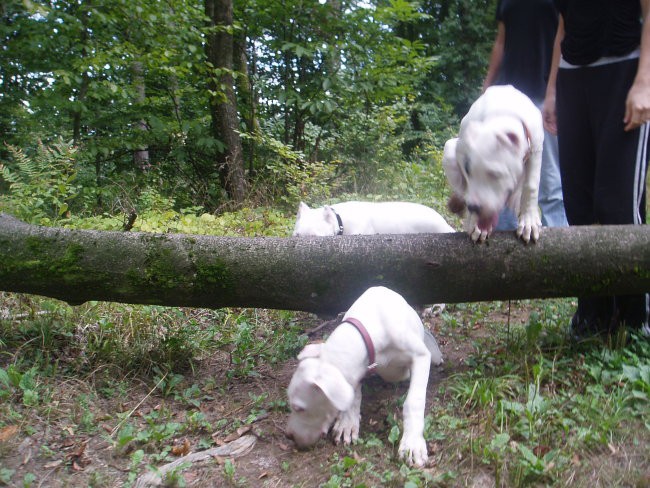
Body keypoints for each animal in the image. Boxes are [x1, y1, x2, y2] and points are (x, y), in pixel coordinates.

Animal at [286, 286, 442, 468]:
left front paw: (412, 444)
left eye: (299, 408)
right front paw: (348, 423)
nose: (288, 436)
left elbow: (414, 401)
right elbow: (354, 393)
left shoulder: (420, 356)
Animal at [440, 86, 540, 244]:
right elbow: (466, 187)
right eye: (468, 172)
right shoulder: (461, 150)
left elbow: (531, 186)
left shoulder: (536, 147)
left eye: (495, 174)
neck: (500, 117)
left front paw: (528, 221)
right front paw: (477, 225)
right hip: (449, 151)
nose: (473, 207)